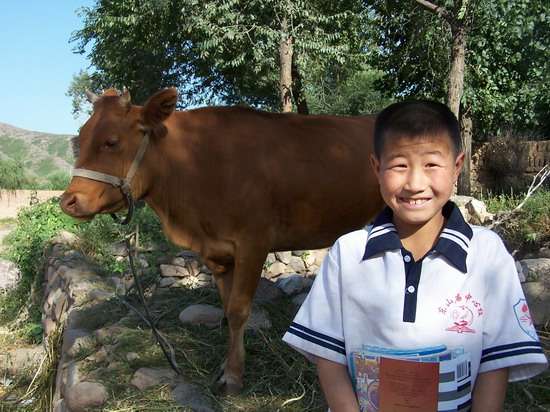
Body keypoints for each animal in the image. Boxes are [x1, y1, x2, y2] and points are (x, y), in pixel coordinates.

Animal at [59, 87, 384, 392]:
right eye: (80, 139)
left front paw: (233, 376)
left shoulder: (253, 242)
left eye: (111, 142)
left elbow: (239, 311)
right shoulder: (215, 251)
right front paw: (227, 365)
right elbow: (227, 309)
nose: (68, 201)